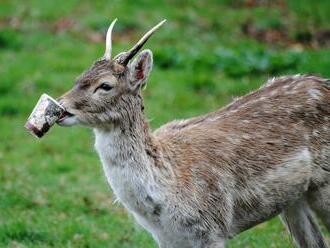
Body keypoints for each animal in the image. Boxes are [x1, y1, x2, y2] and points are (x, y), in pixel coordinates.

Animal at [56, 19, 330, 248]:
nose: (60, 106)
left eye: (105, 85)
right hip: (293, 198)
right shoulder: (167, 239)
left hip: (323, 185)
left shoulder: (213, 228)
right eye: (79, 77)